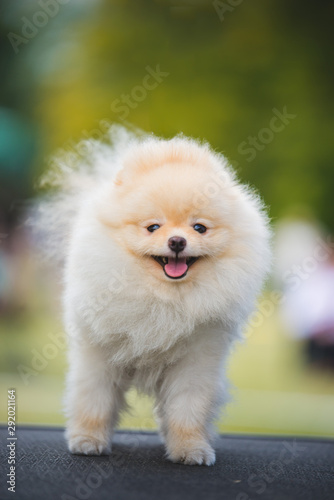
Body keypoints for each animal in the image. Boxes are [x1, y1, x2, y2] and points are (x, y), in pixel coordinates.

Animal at [36, 125, 272, 464]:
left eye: (199, 228)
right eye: (153, 227)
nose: (176, 241)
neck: (163, 299)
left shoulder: (197, 360)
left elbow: (188, 410)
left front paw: (190, 448)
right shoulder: (97, 352)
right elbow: (94, 400)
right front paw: (87, 440)